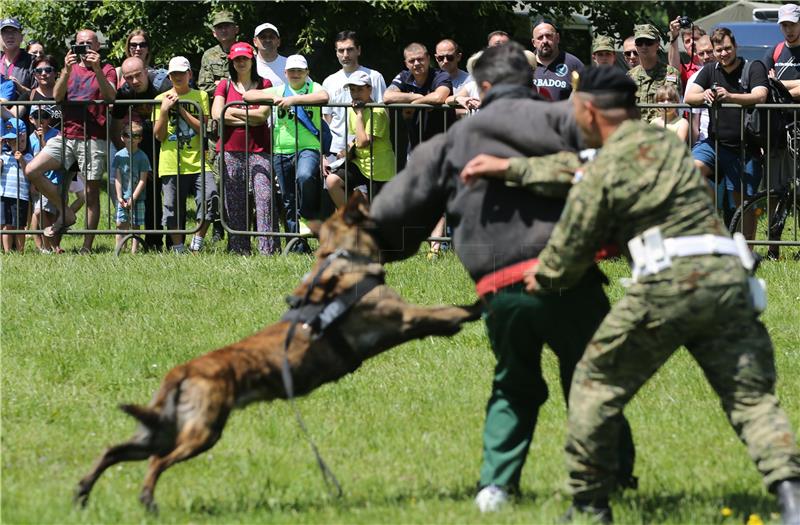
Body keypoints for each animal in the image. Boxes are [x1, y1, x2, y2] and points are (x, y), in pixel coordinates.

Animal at [75, 192, 478, 508]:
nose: (365, 188)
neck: (341, 259)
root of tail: (184, 371)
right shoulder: (404, 316)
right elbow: (448, 311)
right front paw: (476, 307)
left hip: (165, 428)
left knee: (115, 450)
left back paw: (83, 490)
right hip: (201, 431)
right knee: (156, 463)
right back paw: (146, 499)